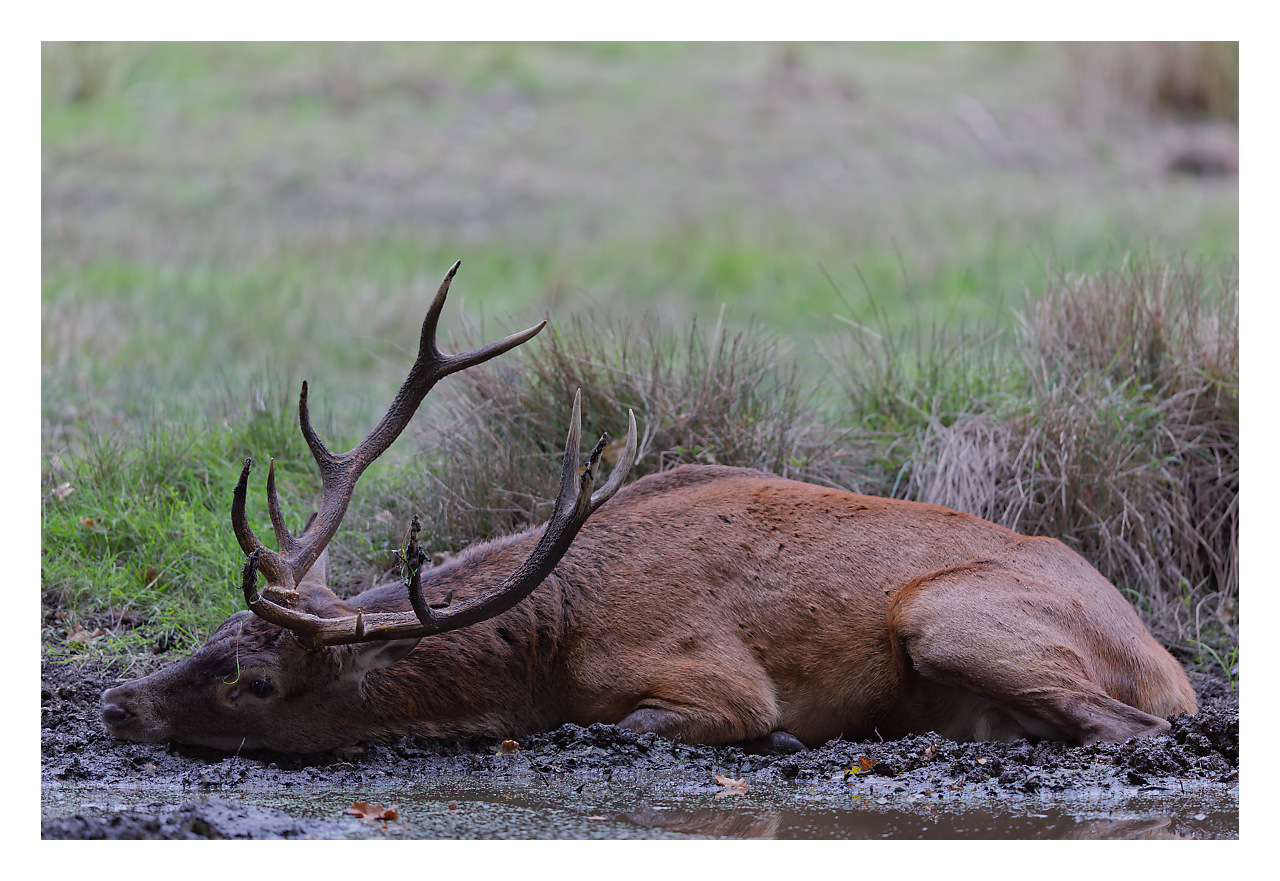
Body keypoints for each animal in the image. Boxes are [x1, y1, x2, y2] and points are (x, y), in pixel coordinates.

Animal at [101, 262, 1197, 755]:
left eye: (251, 680)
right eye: (212, 631)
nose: (116, 700)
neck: (554, 644)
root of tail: (1168, 660)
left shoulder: (718, 680)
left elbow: (635, 726)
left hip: (949, 613)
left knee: (1132, 729)